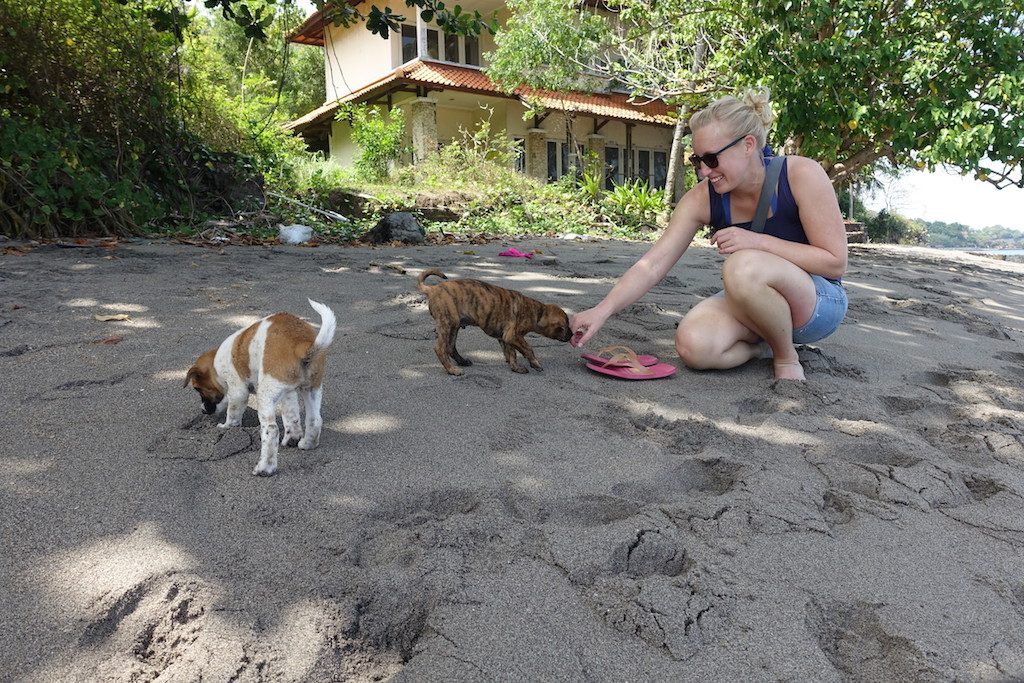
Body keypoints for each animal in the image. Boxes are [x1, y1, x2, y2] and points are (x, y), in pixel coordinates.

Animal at [184, 299, 335, 475]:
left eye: (197, 388)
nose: (203, 411)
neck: (216, 364)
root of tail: (302, 344)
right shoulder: (288, 392)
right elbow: (292, 417)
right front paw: (292, 437)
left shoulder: (238, 392)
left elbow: (233, 414)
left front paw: (226, 426)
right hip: (312, 388)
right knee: (314, 420)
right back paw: (306, 444)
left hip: (265, 395)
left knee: (272, 429)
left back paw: (265, 468)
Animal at [417, 268, 577, 376]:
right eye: (565, 327)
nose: (572, 335)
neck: (537, 311)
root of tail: (433, 289)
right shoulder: (513, 336)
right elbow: (528, 349)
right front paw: (535, 363)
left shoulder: (506, 337)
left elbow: (511, 353)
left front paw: (515, 367)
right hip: (448, 323)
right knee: (440, 349)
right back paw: (452, 370)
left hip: (454, 326)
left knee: (450, 347)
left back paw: (462, 361)